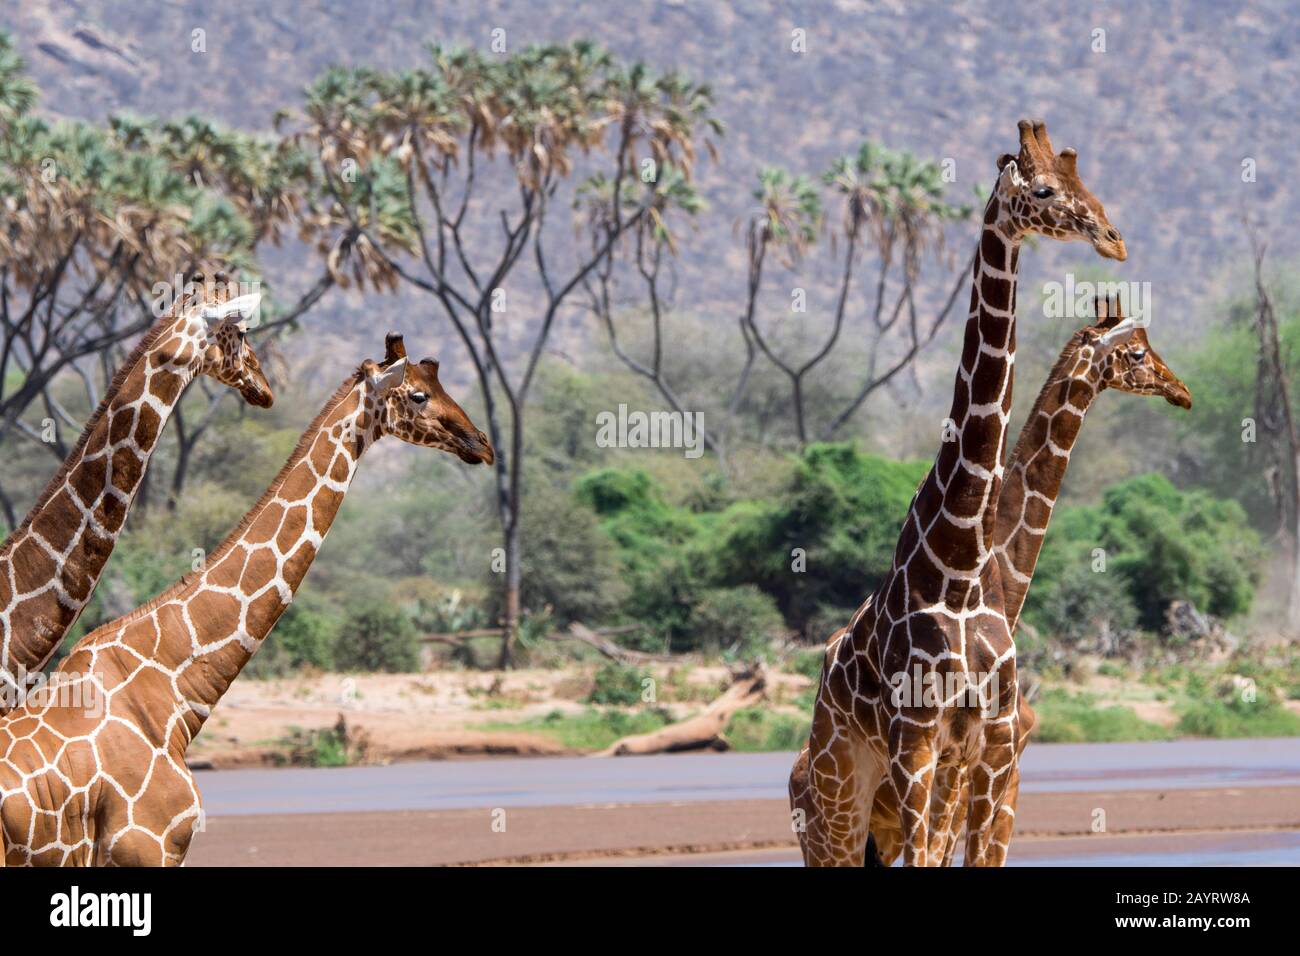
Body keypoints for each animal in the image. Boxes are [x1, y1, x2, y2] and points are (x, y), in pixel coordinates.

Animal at [785, 293, 1190, 868]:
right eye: (1136, 352)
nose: (1182, 391)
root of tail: (795, 773)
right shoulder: (977, 771)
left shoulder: (995, 766)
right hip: (832, 824)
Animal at [790, 119, 1128, 868]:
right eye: (1042, 190)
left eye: (1082, 179)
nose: (1113, 237)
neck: (959, 565)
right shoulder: (917, 737)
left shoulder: (976, 735)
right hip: (838, 804)